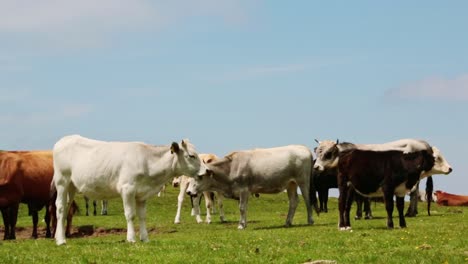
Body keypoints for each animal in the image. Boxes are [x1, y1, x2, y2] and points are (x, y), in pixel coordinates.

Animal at [52, 135, 206, 244]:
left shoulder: (142, 194)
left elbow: (142, 216)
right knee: (60, 207)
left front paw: (145, 238)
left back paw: (59, 236)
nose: (206, 171)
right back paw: (61, 240)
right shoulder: (127, 189)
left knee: (66, 208)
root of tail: (65, 139)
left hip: (71, 186)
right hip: (62, 181)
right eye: (191, 156)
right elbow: (130, 214)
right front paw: (131, 238)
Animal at [185, 145, 320, 230]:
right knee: (294, 201)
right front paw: (244, 224)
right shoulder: (246, 192)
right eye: (191, 177)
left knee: (308, 199)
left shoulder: (243, 189)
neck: (231, 168)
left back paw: (310, 220)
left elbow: (242, 208)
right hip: (291, 184)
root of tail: (304, 148)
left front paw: (240, 225)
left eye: (200, 176)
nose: (188, 191)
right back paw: (287, 222)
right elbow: (245, 208)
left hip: (303, 181)